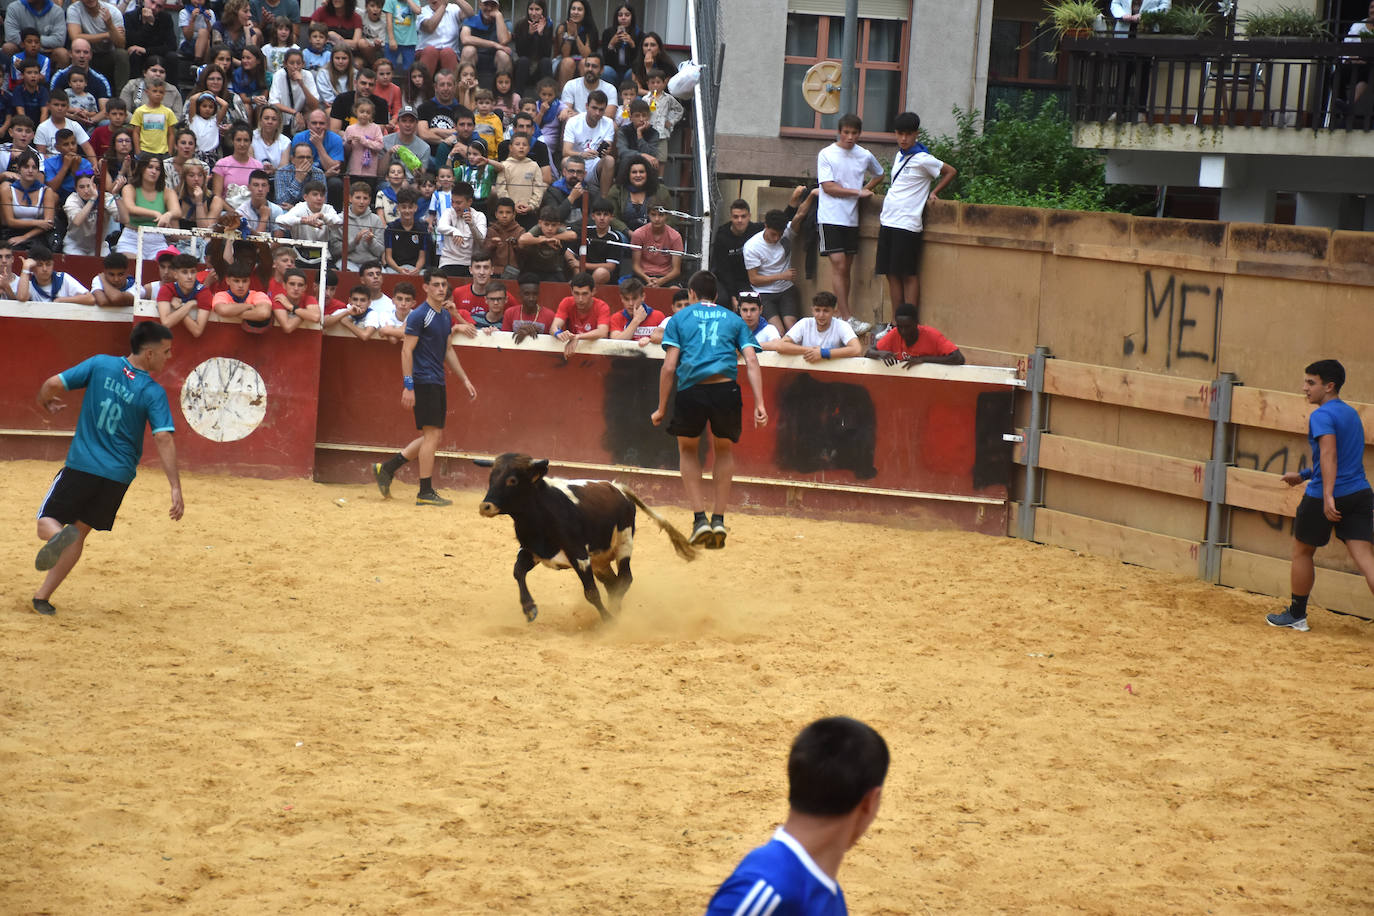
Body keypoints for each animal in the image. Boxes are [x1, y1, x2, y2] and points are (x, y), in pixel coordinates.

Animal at [475, 453, 696, 623]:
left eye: (512, 480)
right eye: (491, 478)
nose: (485, 506)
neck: (539, 514)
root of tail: (618, 488)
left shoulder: (579, 556)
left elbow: (591, 592)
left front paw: (607, 621)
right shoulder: (531, 550)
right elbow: (518, 572)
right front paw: (529, 609)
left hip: (624, 542)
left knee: (625, 579)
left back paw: (615, 611)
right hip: (600, 561)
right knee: (613, 584)